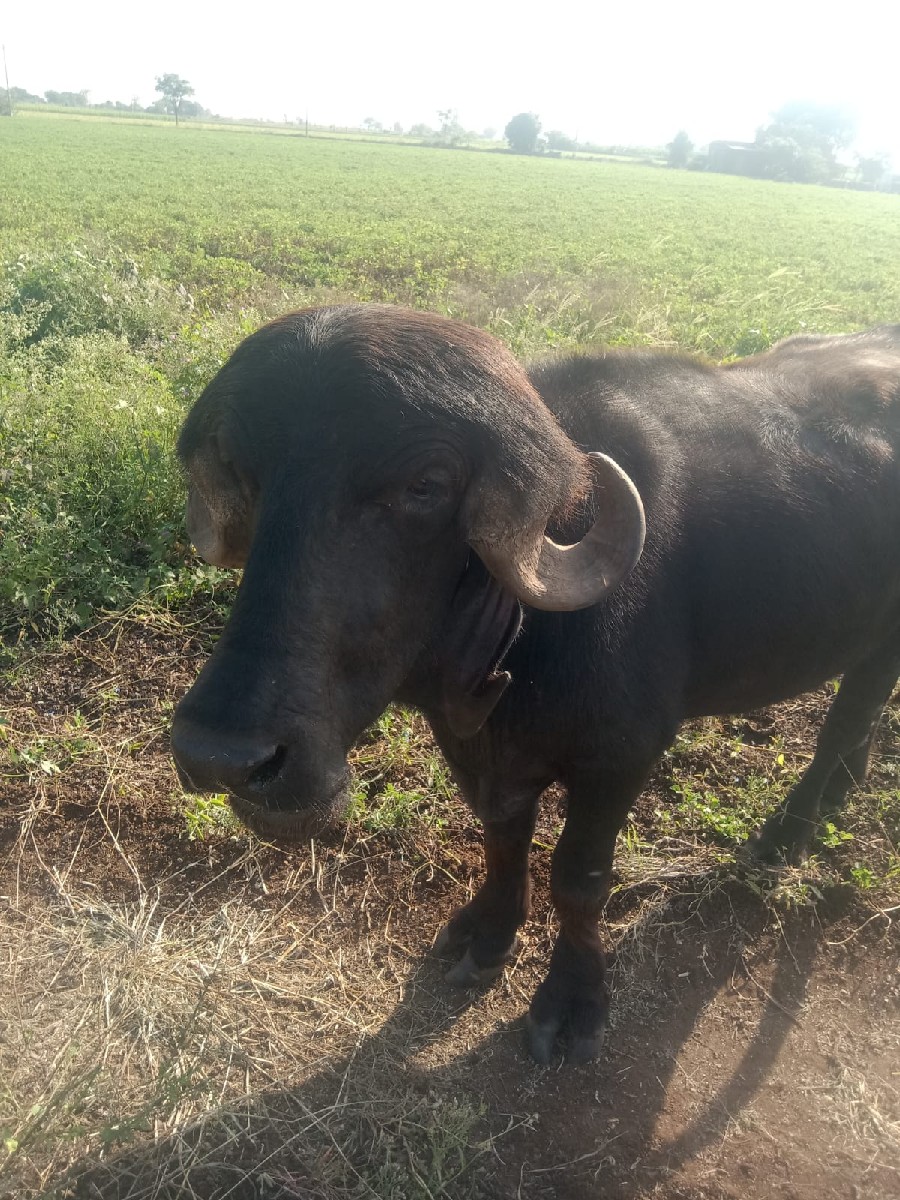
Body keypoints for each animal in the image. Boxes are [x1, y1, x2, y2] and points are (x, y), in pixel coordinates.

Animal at [171, 306, 900, 1064]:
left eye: (425, 486)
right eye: (243, 475)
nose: (222, 757)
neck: (527, 639)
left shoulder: (621, 759)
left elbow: (580, 879)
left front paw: (571, 1001)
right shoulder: (482, 754)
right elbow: (502, 839)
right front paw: (487, 934)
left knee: (843, 725)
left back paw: (784, 838)